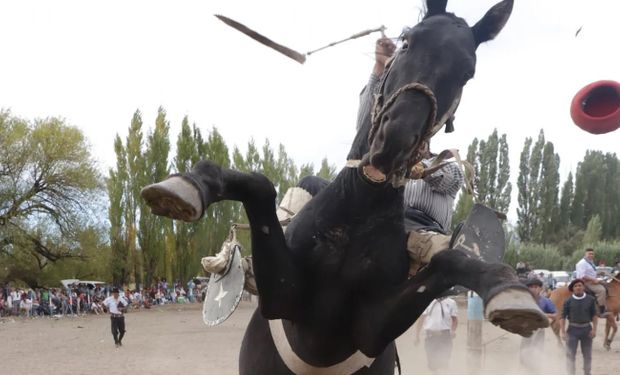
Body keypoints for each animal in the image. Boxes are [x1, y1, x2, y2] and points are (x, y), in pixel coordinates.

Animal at [142, 1, 548, 374]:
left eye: (467, 73)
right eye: (406, 41)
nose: (395, 139)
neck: (357, 212)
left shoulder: (370, 329)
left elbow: (449, 262)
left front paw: (507, 289)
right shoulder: (282, 298)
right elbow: (260, 186)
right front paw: (188, 186)